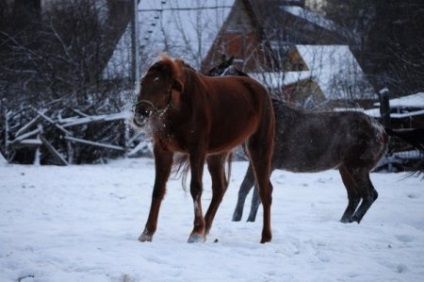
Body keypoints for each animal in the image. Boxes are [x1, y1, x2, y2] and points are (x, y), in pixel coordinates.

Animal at [134, 54, 276, 242]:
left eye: (165, 90)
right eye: (143, 84)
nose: (140, 114)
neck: (181, 108)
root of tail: (262, 90)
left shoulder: (197, 151)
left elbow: (196, 188)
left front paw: (195, 232)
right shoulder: (163, 151)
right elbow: (158, 189)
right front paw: (147, 233)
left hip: (259, 149)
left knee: (264, 190)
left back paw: (265, 236)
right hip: (216, 154)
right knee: (220, 188)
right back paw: (205, 228)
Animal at [207, 59, 390, 225]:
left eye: (215, 73)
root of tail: (382, 131)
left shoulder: (266, 162)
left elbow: (253, 193)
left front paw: (244, 221)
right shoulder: (255, 162)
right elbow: (246, 191)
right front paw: (241, 220)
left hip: (357, 166)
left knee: (369, 195)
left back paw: (353, 221)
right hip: (344, 167)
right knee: (354, 196)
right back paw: (344, 221)